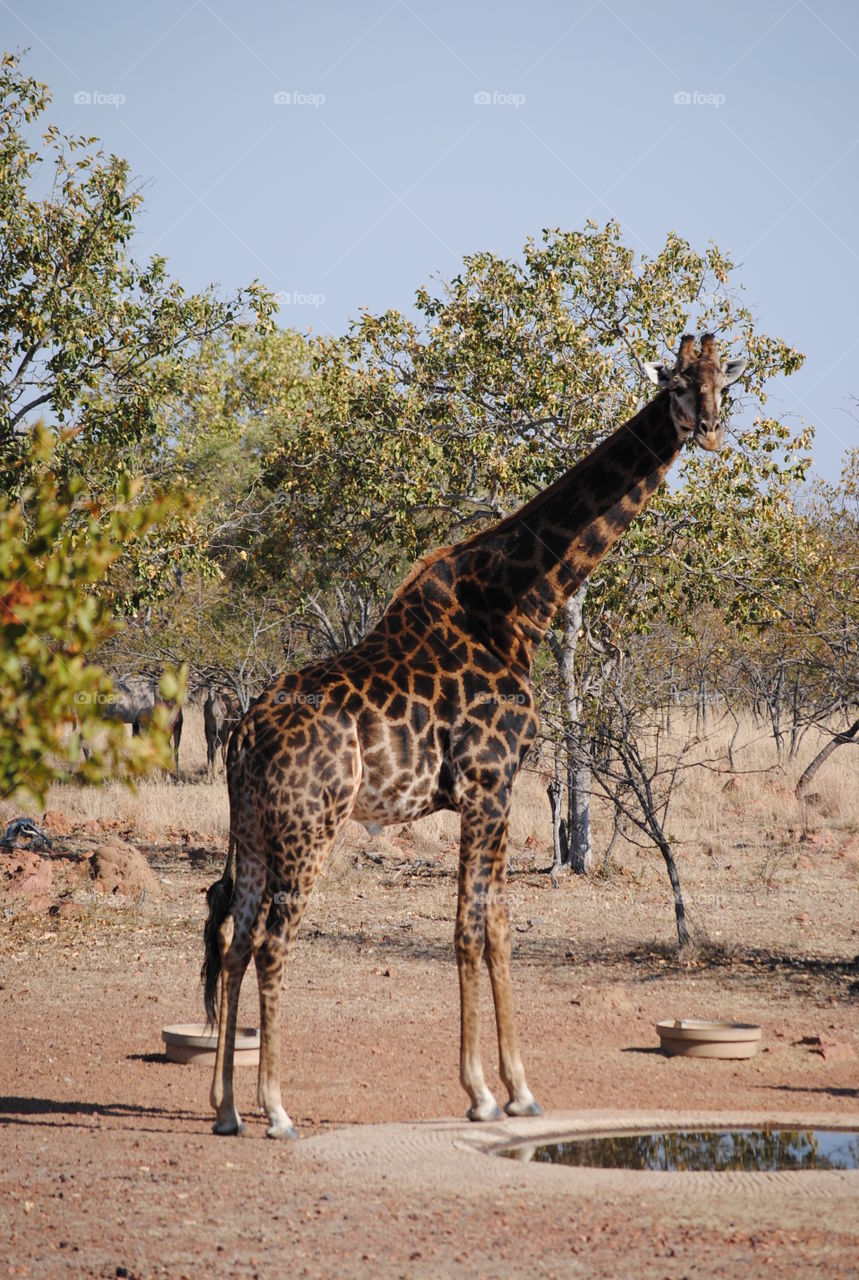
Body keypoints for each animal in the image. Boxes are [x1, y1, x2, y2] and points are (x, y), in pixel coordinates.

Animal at [202, 333, 745, 1138]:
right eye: (677, 383)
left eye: (721, 385)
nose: (707, 430)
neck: (517, 606)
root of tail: (240, 735)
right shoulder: (491, 782)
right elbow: (475, 929)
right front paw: (493, 1093)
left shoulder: (489, 792)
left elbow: (495, 926)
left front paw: (509, 1089)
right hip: (311, 824)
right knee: (273, 942)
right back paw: (275, 1109)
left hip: (254, 829)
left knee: (235, 938)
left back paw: (226, 1109)